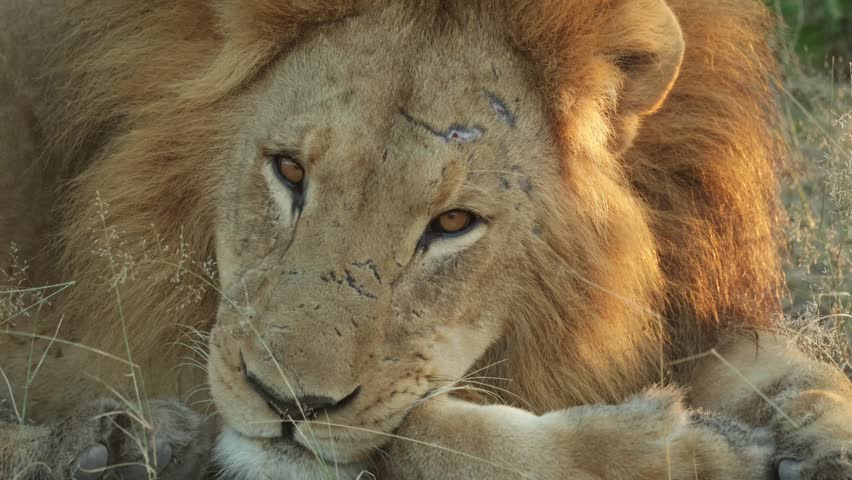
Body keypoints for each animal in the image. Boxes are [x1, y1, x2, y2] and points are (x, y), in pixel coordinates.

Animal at [1, 0, 851, 479]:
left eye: (451, 224)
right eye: (288, 169)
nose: (287, 401)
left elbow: (798, 374)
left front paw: (820, 433)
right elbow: (420, 438)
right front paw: (692, 453)